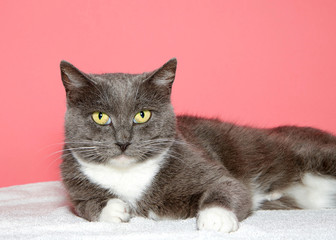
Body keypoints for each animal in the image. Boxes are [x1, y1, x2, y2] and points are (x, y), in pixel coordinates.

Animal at [60, 58, 336, 232]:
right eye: (100, 117)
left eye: (142, 115)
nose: (123, 142)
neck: (126, 174)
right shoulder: (75, 186)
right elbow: (84, 206)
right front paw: (114, 209)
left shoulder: (200, 161)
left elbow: (229, 187)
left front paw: (215, 219)